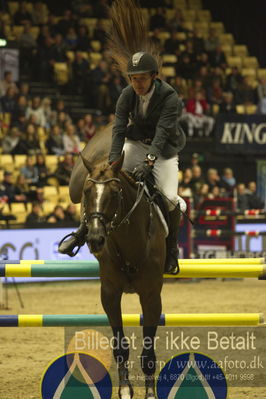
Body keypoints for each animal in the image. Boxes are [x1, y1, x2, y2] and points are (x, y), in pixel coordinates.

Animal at [78, 152, 167, 398]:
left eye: (115, 193)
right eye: (86, 192)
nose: (95, 239)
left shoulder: (151, 296)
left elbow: (148, 352)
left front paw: (150, 392)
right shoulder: (109, 293)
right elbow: (120, 346)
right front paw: (125, 389)